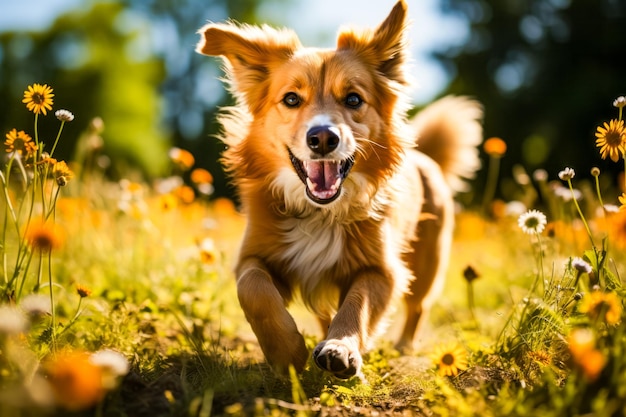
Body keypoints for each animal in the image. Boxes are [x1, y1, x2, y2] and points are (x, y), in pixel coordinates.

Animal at [197, 0, 480, 376]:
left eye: (353, 99)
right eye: (291, 99)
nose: (322, 138)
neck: (320, 211)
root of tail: (426, 158)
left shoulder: (382, 269)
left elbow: (357, 303)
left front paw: (340, 347)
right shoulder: (254, 255)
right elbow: (253, 288)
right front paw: (287, 350)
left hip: (427, 264)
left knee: (418, 306)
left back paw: (404, 346)